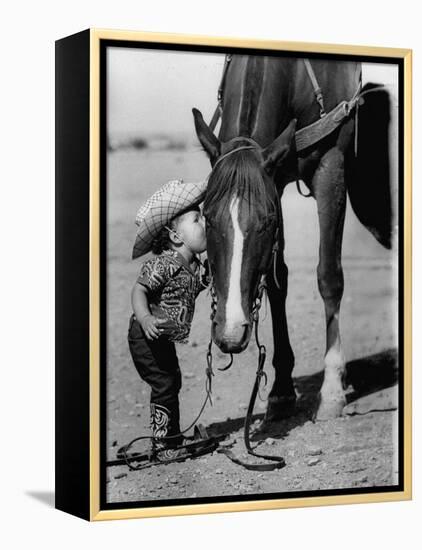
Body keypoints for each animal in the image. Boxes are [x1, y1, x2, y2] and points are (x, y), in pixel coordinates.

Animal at [193, 54, 390, 420]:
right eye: (207, 217)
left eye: (266, 221)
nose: (231, 331)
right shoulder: (276, 178)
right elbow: (276, 280)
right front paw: (282, 390)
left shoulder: (330, 167)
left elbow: (329, 277)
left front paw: (331, 390)